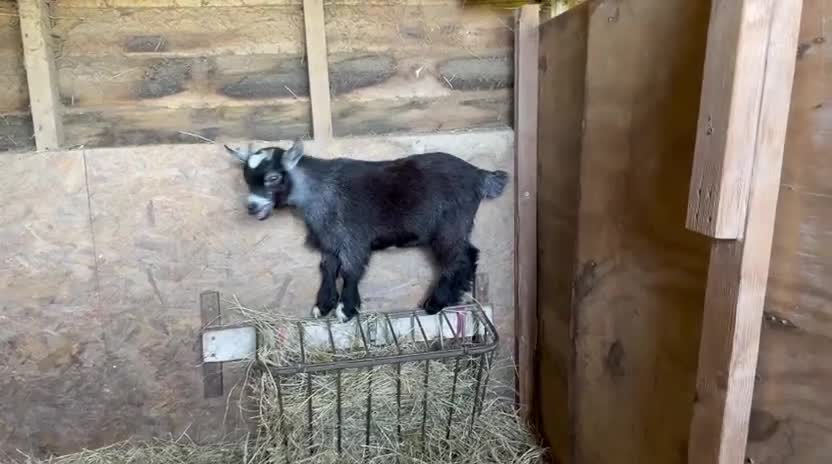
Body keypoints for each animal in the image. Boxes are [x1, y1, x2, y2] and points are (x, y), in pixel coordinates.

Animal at [226, 139, 509, 322]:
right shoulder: (330, 239)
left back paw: (436, 303)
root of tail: (479, 175)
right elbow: (328, 268)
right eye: (246, 178)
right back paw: (456, 294)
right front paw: (324, 305)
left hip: (450, 224)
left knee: (459, 257)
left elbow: (351, 270)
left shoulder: (353, 238)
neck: (319, 190)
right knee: (468, 255)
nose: (252, 207)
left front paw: (346, 309)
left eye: (273, 177)